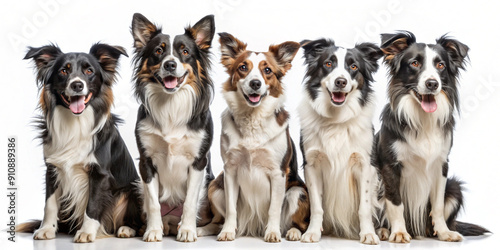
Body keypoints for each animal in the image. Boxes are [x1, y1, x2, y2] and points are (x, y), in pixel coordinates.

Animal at [17, 43, 143, 242]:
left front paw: (86, 232)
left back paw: (126, 229)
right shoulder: (52, 169)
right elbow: (49, 204)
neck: (75, 122)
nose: (77, 84)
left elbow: (92, 205)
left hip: (135, 188)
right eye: (63, 71)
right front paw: (47, 229)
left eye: (89, 70)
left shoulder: (99, 174)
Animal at [195, 32, 308, 242]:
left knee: (300, 222)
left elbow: (274, 209)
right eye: (243, 68)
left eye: (267, 70)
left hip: (297, 192)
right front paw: (228, 232)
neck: (252, 119)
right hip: (215, 187)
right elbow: (231, 209)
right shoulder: (230, 170)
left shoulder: (278, 173)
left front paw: (272, 233)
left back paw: (293, 232)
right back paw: (206, 229)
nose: (255, 83)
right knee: (218, 219)